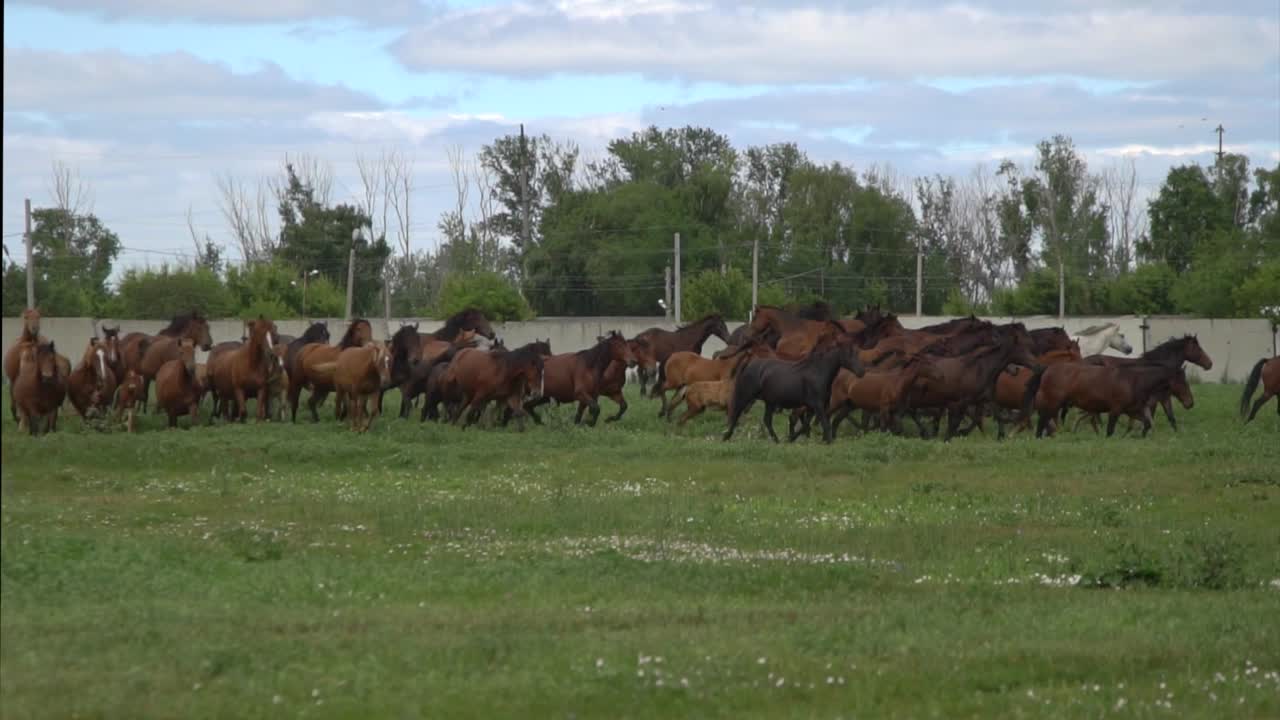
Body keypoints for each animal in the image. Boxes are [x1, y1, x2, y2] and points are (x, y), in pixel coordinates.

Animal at [722, 334, 866, 444]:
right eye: (848, 353)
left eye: (856, 352)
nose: (861, 372)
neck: (818, 372)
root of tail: (749, 364)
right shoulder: (817, 405)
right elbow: (824, 424)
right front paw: (829, 441)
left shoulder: (813, 407)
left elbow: (807, 425)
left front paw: (792, 439)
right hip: (746, 396)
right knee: (736, 413)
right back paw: (726, 437)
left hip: (770, 402)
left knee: (767, 420)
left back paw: (777, 441)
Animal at [1028, 363, 1192, 438]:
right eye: (1183, 382)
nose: (1190, 403)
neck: (1134, 381)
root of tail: (1047, 370)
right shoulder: (1115, 410)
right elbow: (1110, 431)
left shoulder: (1131, 411)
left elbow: (1146, 423)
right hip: (1053, 403)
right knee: (1042, 421)